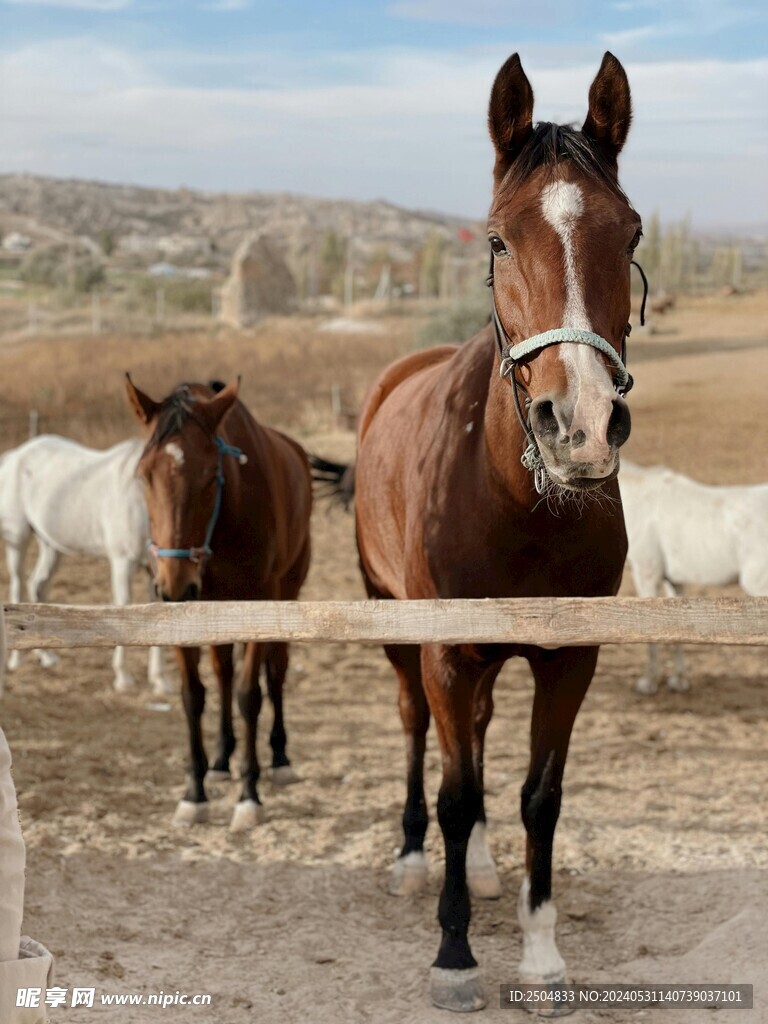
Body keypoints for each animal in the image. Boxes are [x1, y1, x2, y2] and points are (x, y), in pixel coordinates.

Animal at [0, 435, 170, 694]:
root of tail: (14, 456)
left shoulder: (154, 570)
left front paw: (159, 681)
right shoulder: (122, 562)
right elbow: (123, 606)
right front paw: (123, 678)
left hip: (50, 544)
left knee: (38, 585)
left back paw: (46, 656)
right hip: (18, 539)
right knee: (18, 583)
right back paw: (17, 659)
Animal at [125, 377, 312, 830]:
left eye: (212, 476)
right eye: (144, 475)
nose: (174, 586)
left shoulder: (263, 603)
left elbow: (250, 694)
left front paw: (249, 796)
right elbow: (194, 695)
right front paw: (194, 793)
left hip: (288, 590)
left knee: (275, 672)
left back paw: (279, 758)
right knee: (223, 671)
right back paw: (222, 759)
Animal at [347, 52, 641, 1011]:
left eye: (629, 233)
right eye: (498, 240)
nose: (579, 426)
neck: (518, 506)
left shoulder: (569, 660)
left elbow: (535, 798)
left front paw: (541, 956)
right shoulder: (445, 649)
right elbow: (453, 793)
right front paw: (454, 955)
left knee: (470, 738)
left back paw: (474, 868)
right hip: (398, 628)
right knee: (420, 731)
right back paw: (415, 862)